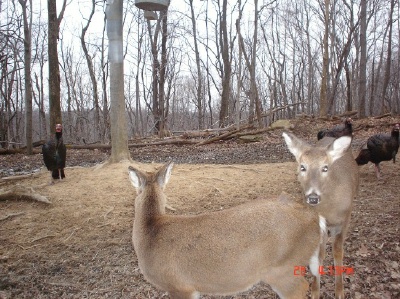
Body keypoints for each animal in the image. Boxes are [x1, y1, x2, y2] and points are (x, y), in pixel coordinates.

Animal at [282, 132, 360, 299]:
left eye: (325, 168)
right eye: (302, 166)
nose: (313, 197)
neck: (329, 209)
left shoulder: (345, 218)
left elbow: (338, 251)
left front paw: (340, 292)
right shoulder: (318, 221)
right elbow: (319, 254)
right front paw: (315, 291)